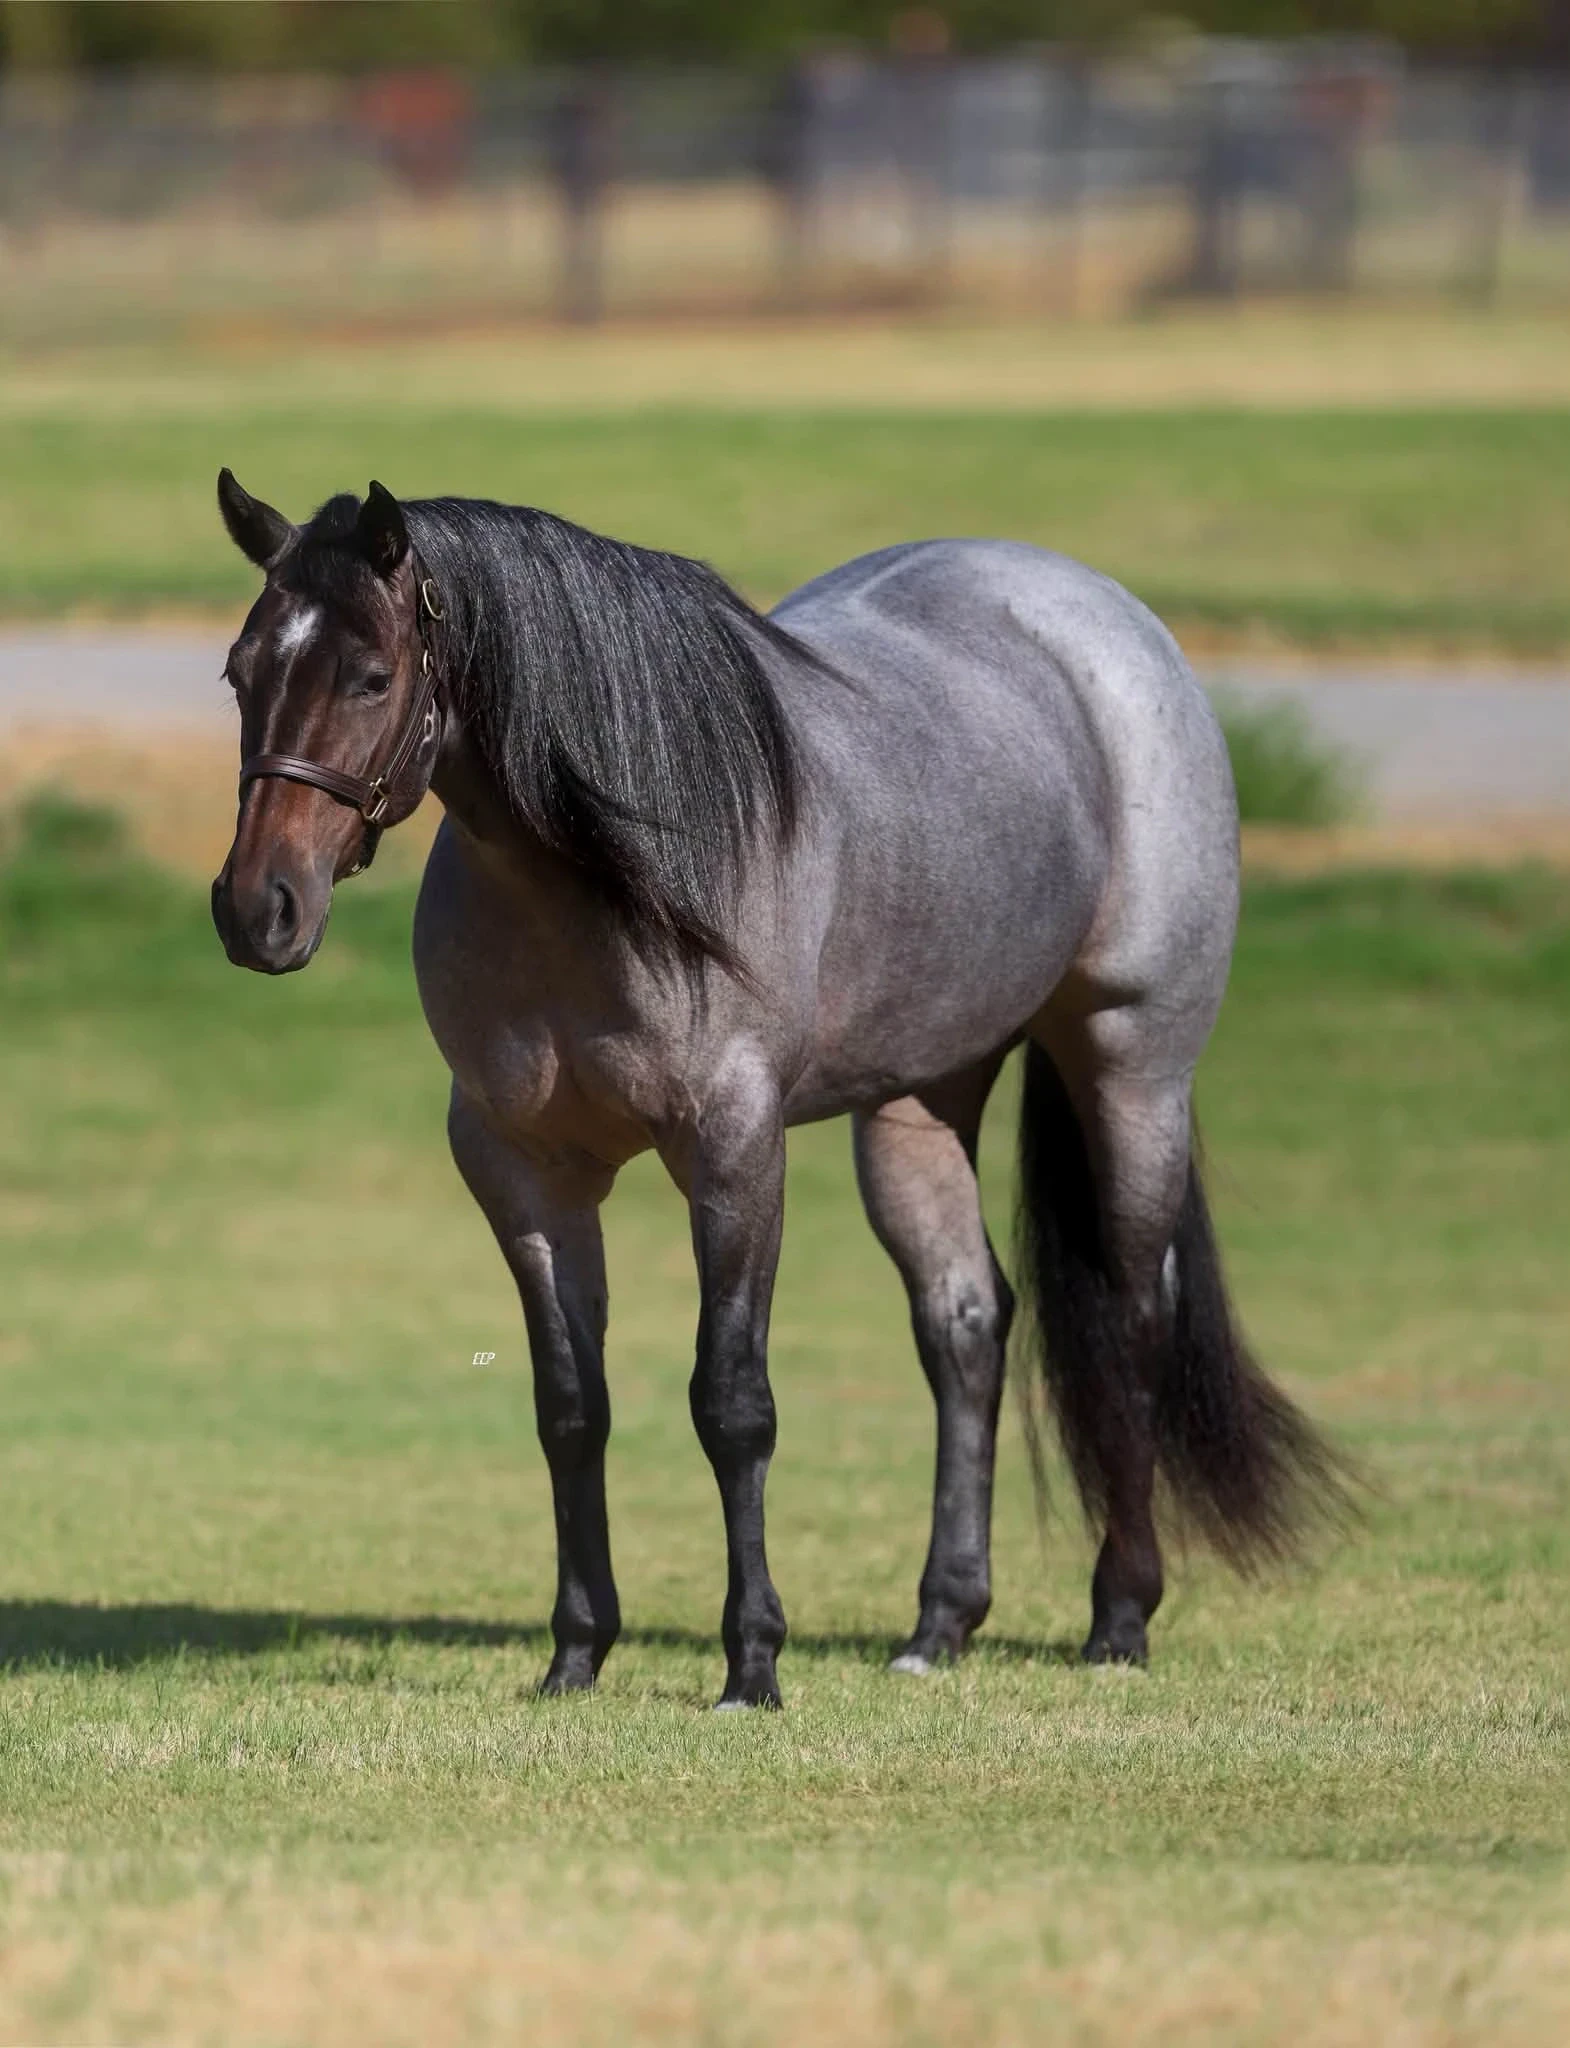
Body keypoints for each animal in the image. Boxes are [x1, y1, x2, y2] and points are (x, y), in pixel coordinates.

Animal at [210, 471, 1341, 1709]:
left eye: (370, 674)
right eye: (239, 669)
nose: (257, 908)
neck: (607, 875)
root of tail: (1101, 617)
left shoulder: (735, 1147)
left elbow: (731, 1402)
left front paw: (751, 1660)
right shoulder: (524, 1172)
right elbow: (571, 1407)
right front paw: (576, 1653)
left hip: (1131, 1066)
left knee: (1133, 1314)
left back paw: (1119, 1613)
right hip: (916, 1103)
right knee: (964, 1322)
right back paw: (938, 1623)